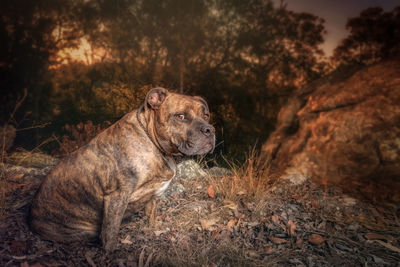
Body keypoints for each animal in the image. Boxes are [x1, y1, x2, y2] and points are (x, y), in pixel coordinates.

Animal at [29, 87, 216, 251]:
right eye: (180, 116)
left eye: (206, 115)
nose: (209, 129)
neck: (153, 141)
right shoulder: (117, 196)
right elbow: (110, 232)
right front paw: (111, 252)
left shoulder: (152, 195)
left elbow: (151, 213)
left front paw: (153, 228)